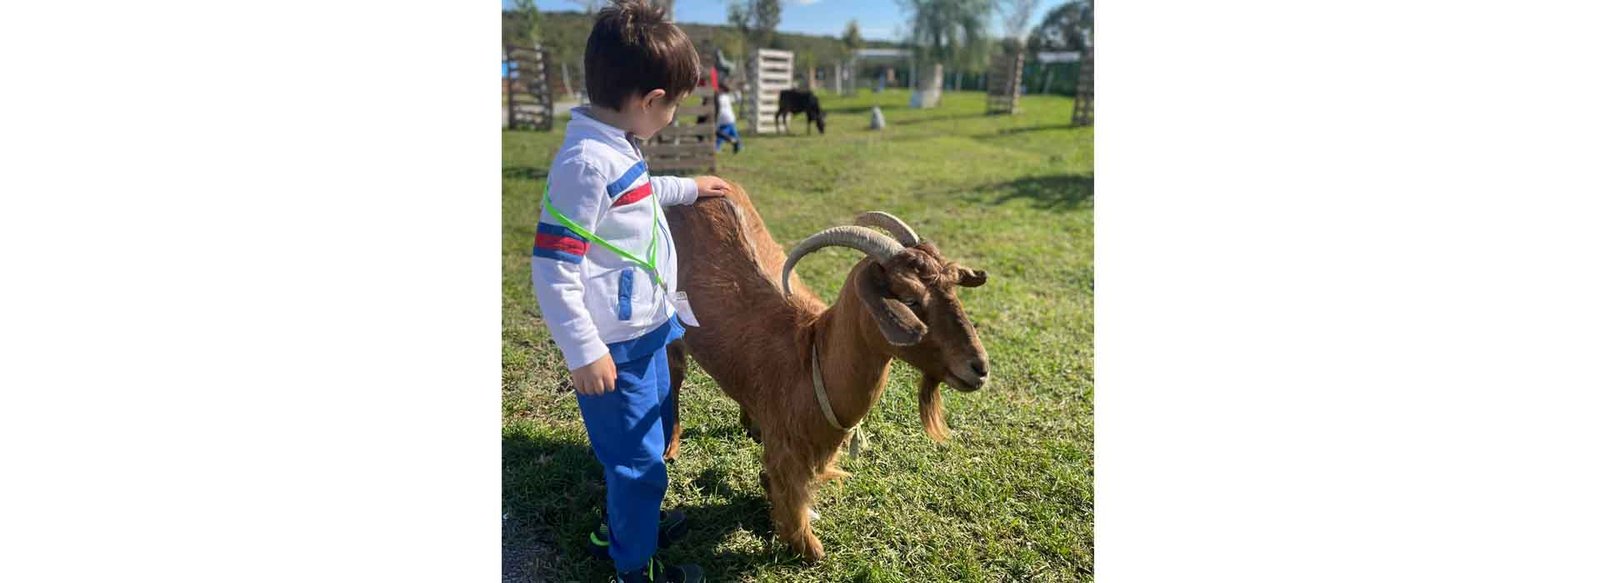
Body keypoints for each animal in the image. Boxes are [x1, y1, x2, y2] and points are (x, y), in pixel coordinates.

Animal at [662, 180, 985, 560]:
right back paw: (671, 446)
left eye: (953, 289)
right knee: (674, 372)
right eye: (909, 299)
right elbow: (807, 538)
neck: (810, 356)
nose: (979, 368)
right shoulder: (789, 454)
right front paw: (804, 544)